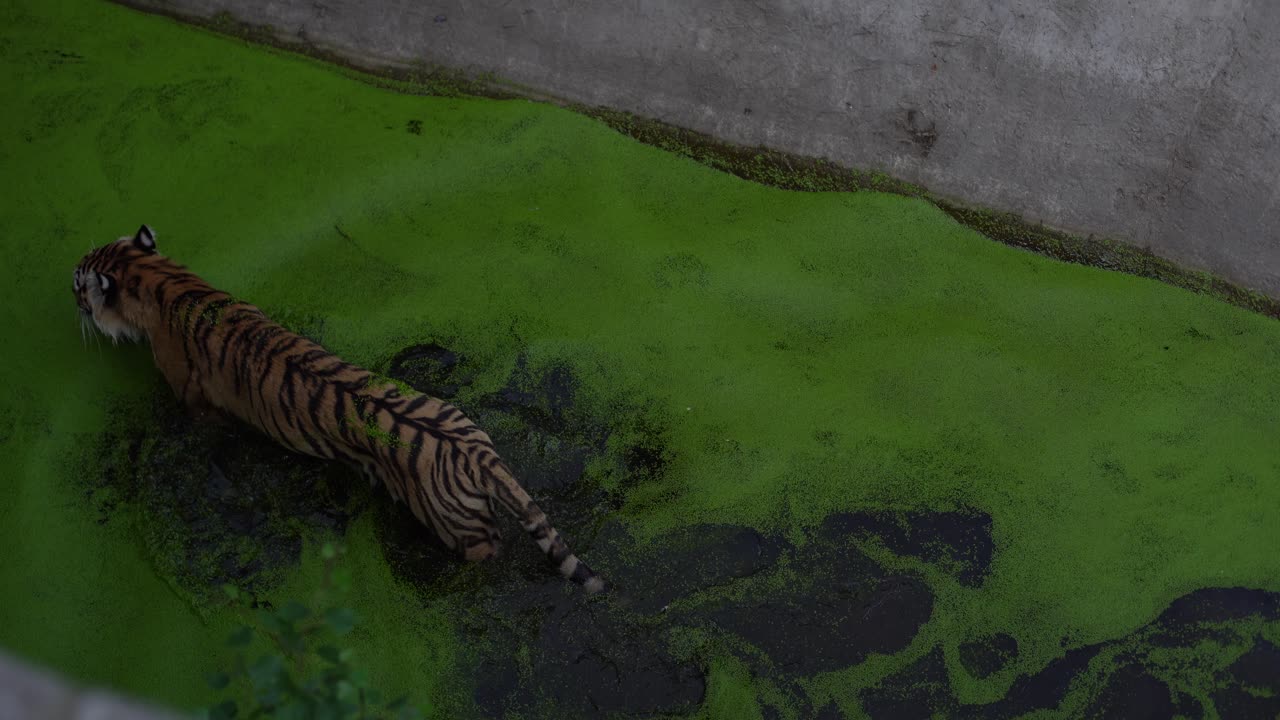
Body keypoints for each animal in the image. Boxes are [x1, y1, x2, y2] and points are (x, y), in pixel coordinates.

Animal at [72, 224, 606, 594]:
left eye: (79, 280)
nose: (68, 285)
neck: (163, 281)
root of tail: (479, 457)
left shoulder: (196, 402)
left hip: (458, 529)